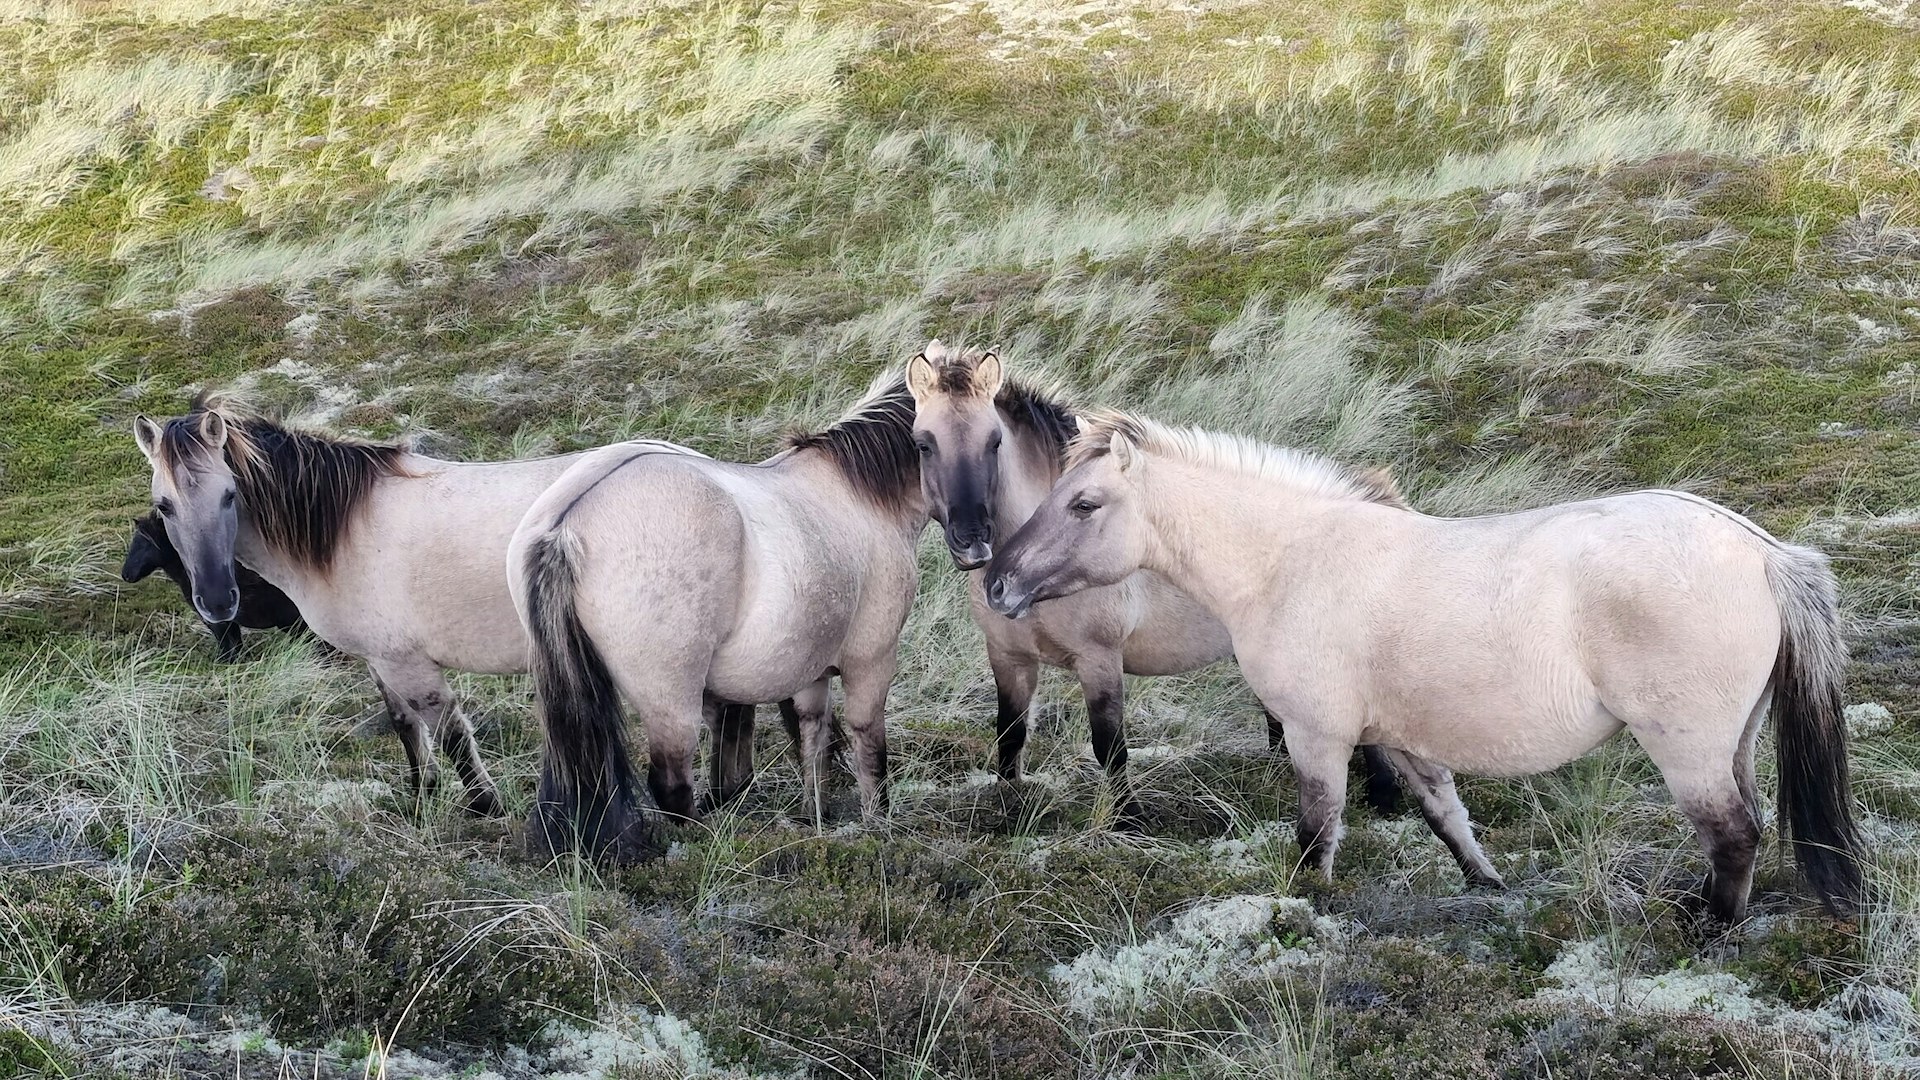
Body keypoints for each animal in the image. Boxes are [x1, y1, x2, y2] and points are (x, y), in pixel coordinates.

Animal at [983, 407, 1850, 922]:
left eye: (1085, 503)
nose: (996, 581)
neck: (1289, 561)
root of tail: (1762, 551)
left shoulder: (1316, 737)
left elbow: (1316, 833)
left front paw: (1309, 909)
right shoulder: (1398, 739)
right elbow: (1447, 819)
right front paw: (1488, 889)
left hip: (1687, 747)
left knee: (1733, 832)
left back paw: (1710, 929)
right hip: (1733, 742)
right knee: (1743, 823)